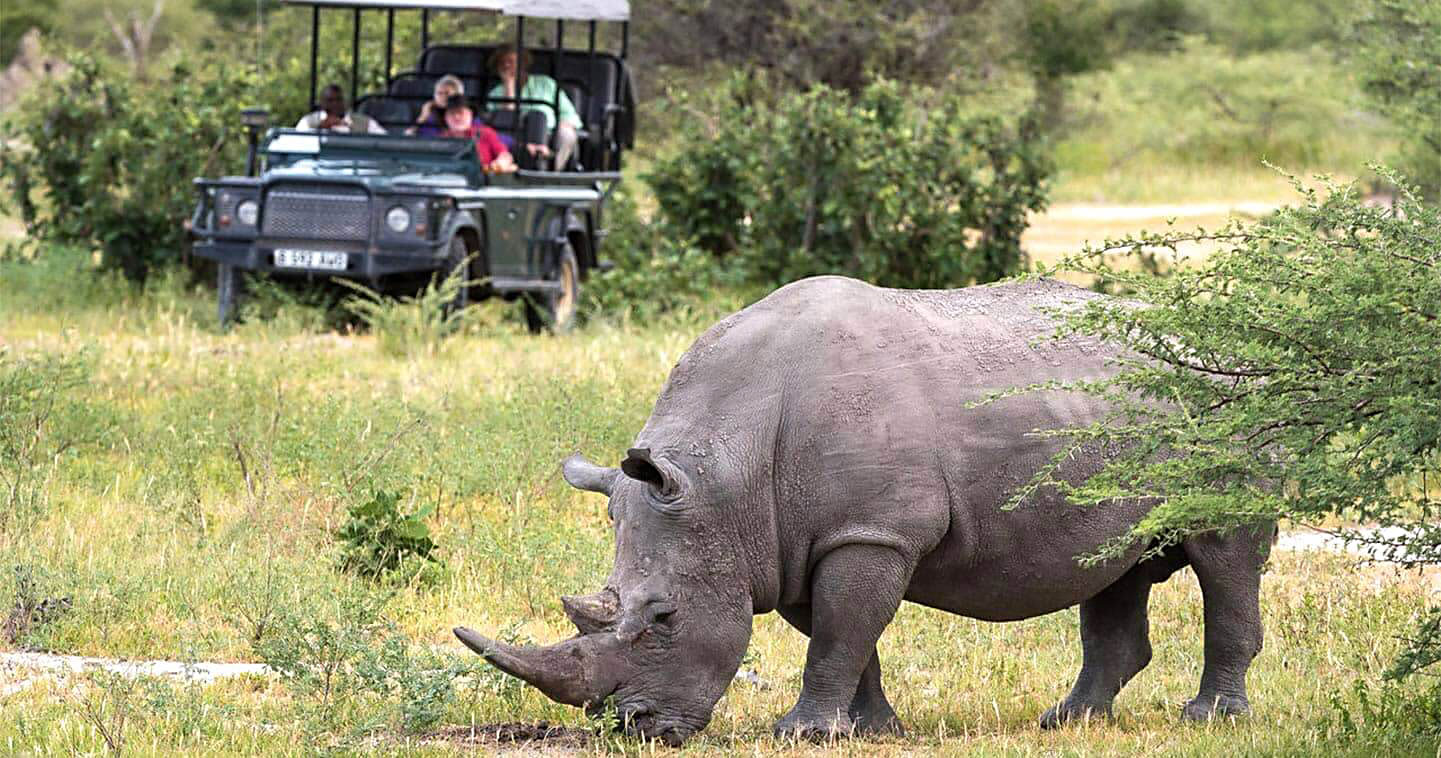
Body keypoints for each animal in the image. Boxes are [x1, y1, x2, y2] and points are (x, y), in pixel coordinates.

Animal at [455, 276, 1271, 745]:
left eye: (662, 618)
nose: (633, 729)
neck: (722, 473)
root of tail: (1231, 344)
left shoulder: (869, 532)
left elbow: (840, 635)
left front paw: (800, 734)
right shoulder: (790, 541)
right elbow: (845, 637)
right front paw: (873, 729)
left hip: (1228, 405)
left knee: (1223, 555)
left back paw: (1209, 719)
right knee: (1116, 567)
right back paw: (1068, 721)